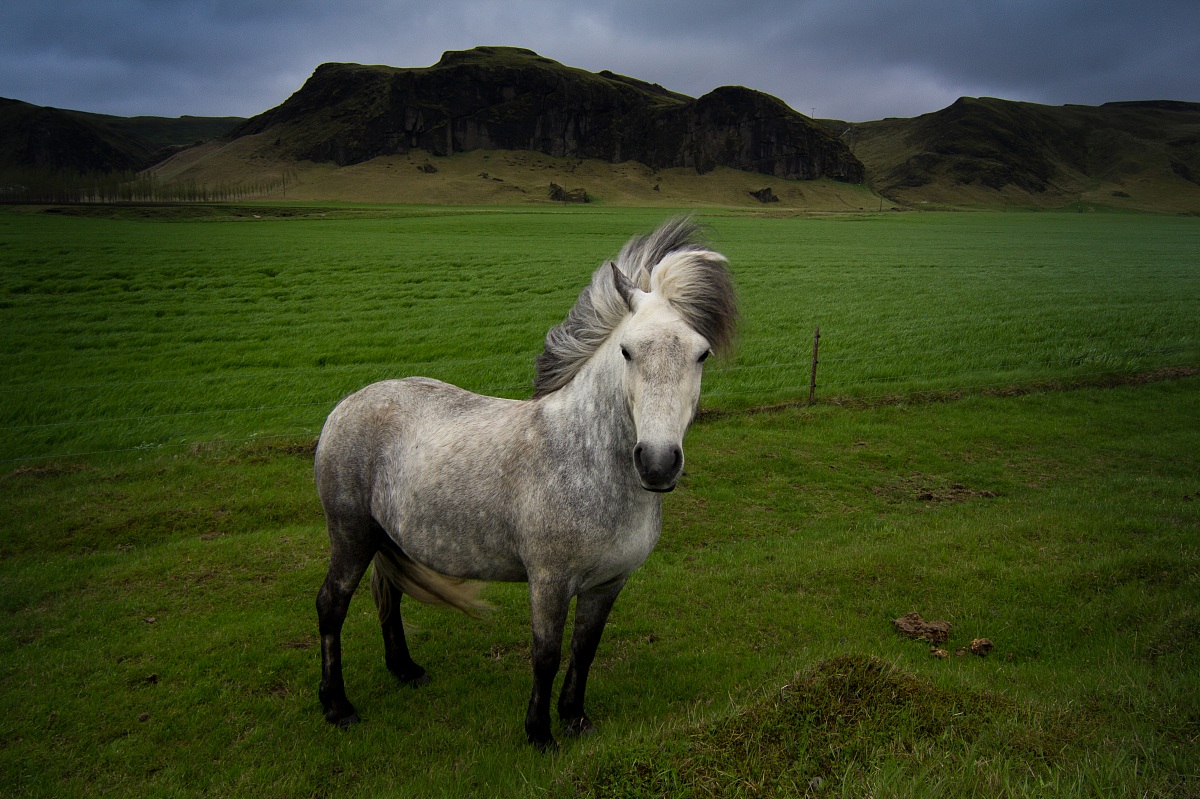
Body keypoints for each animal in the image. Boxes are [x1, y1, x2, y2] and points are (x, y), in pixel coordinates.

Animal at [313, 217, 737, 750]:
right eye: (627, 350)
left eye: (702, 354)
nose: (658, 463)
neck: (584, 462)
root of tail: (348, 404)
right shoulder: (549, 582)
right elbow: (547, 655)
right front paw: (539, 734)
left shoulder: (608, 584)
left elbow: (584, 650)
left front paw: (575, 718)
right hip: (351, 535)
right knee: (332, 606)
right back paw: (337, 706)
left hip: (383, 537)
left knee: (388, 595)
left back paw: (405, 670)